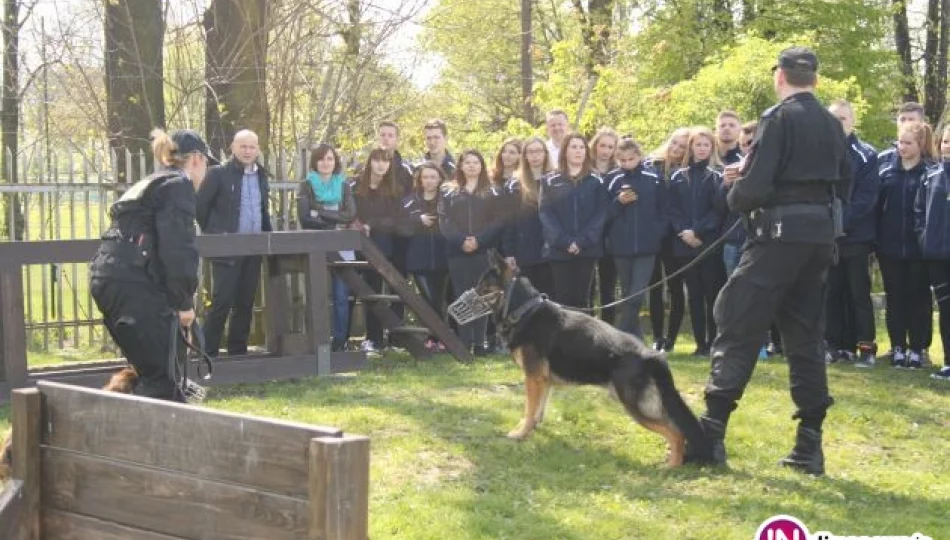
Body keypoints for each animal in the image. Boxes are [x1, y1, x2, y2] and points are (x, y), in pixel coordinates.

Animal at [476, 251, 708, 466]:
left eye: (482, 287)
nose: (471, 295)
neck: (524, 310)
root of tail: (652, 355)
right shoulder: (543, 382)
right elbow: (536, 412)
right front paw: (530, 429)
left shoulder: (532, 379)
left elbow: (529, 409)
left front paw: (520, 434)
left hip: (634, 404)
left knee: (677, 433)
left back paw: (671, 466)